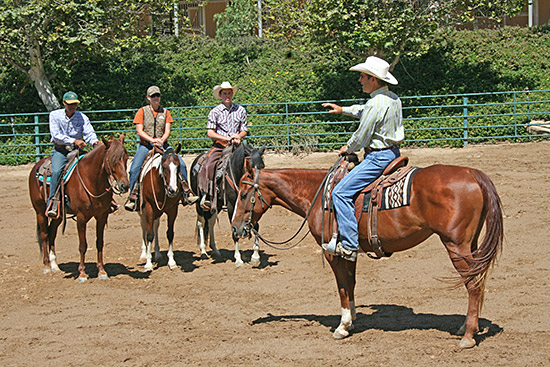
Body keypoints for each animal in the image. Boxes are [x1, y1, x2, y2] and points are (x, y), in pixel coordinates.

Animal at [29, 135, 130, 282]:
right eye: (112, 159)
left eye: (126, 158)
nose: (125, 185)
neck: (91, 180)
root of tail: (36, 167)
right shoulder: (81, 217)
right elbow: (83, 246)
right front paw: (82, 273)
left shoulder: (102, 216)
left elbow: (99, 243)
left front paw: (102, 271)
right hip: (40, 211)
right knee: (44, 234)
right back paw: (47, 266)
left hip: (59, 215)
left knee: (52, 232)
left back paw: (54, 265)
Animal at [232, 158, 504, 348]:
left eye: (244, 194)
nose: (235, 228)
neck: (318, 195)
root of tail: (472, 173)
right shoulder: (349, 251)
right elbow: (351, 284)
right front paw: (352, 319)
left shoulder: (333, 253)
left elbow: (342, 286)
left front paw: (342, 327)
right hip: (471, 244)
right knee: (477, 281)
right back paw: (466, 326)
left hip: (456, 245)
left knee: (473, 284)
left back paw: (468, 335)